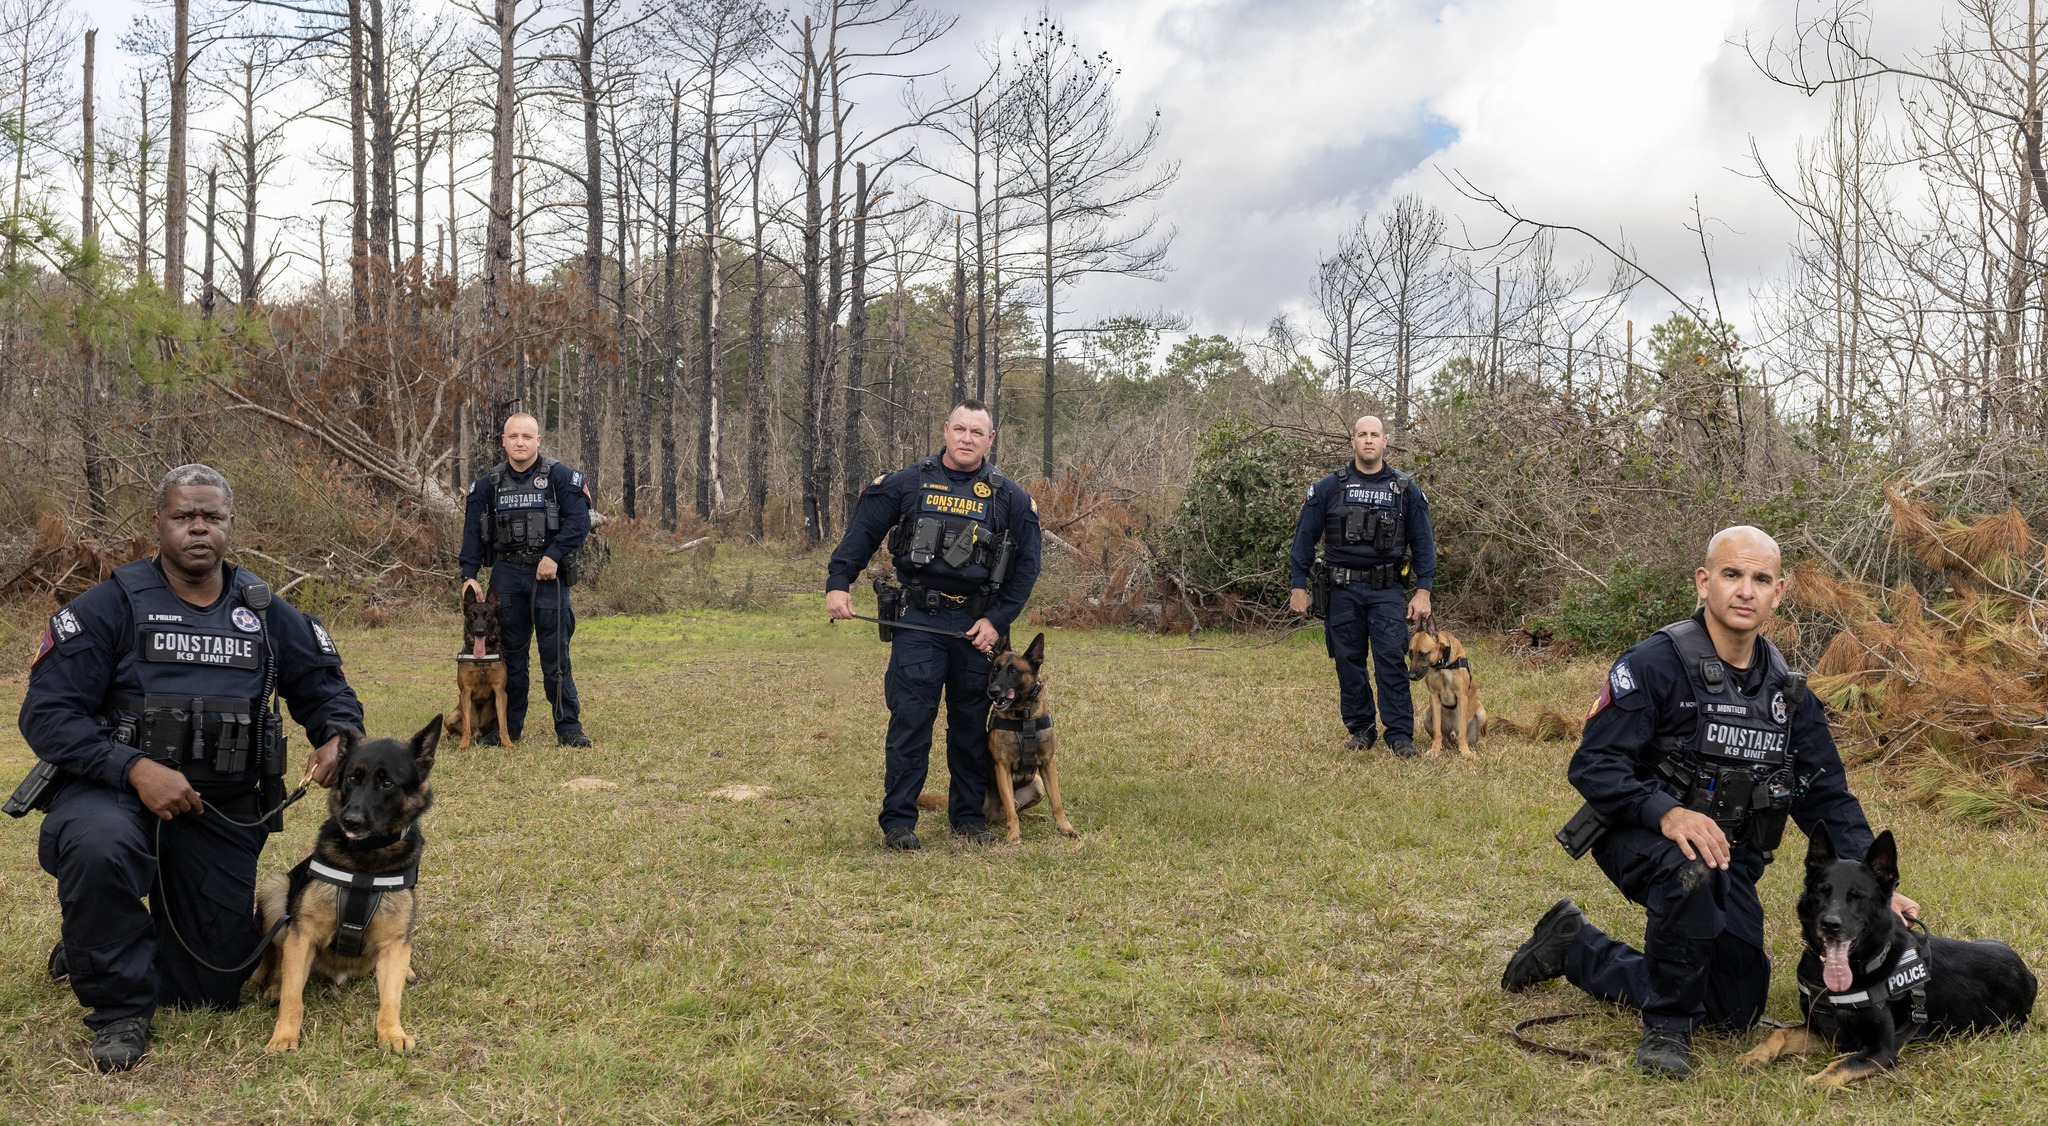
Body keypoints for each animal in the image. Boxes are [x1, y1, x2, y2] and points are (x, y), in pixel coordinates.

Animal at [256, 720, 440, 1056]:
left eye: (387, 783)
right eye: (353, 777)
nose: (350, 820)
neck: (364, 865)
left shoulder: (394, 943)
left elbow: (390, 1001)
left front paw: (392, 1032)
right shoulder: (302, 936)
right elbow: (293, 996)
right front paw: (284, 1034)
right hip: (275, 889)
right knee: (278, 963)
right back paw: (274, 986)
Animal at [446, 585, 509, 753]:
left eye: (488, 616)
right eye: (472, 616)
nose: (479, 631)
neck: (481, 660)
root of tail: (479, 731)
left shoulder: (500, 692)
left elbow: (503, 725)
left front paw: (508, 744)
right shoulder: (465, 692)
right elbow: (466, 726)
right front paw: (463, 745)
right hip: (450, 717)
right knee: (457, 730)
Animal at [1409, 618, 1490, 757]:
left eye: (1423, 654)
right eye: (1410, 654)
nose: (1411, 676)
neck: (1443, 664)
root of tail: (1452, 737)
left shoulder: (1461, 697)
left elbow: (1462, 731)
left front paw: (1465, 751)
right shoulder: (1434, 697)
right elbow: (1437, 732)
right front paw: (1434, 750)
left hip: (1481, 713)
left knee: (1481, 735)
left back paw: (1480, 744)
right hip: (1427, 713)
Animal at [1736, 831, 2039, 1089]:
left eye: (1858, 896)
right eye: (1822, 891)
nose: (1830, 924)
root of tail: (2027, 974)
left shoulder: (1881, 1050)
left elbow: (1842, 1063)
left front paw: (1816, 1082)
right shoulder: (1826, 1034)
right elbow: (1780, 1034)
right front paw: (1755, 1055)